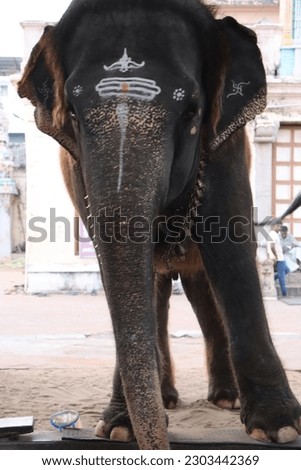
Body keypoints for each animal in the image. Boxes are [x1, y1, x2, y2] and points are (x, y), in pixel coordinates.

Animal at [18, 0, 300, 450]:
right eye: (73, 115)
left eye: (192, 112)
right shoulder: (78, 168)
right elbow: (121, 270)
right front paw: (118, 428)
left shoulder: (225, 144)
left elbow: (230, 250)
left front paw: (280, 427)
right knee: (161, 290)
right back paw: (167, 399)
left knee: (204, 290)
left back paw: (226, 399)